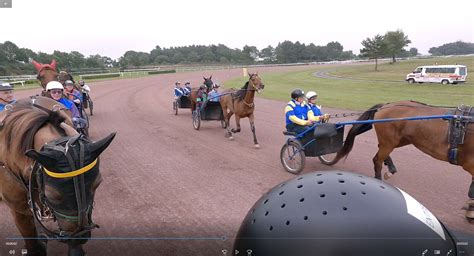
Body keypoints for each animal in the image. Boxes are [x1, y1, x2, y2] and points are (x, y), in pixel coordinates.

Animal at [326, 101, 474, 221]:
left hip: (401, 139)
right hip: (391, 139)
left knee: (380, 150)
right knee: (377, 159)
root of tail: (385, 105)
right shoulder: (470, 164)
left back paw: (390, 168)